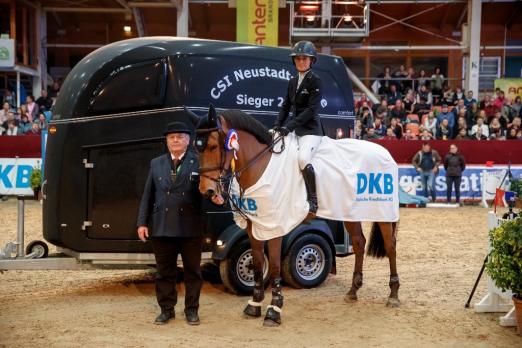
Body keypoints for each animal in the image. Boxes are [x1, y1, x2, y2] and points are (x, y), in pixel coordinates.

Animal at [193, 106, 400, 326]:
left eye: (213, 146)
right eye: (197, 149)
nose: (206, 190)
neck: (262, 166)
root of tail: (384, 152)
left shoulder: (274, 226)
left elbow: (274, 266)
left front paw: (274, 310)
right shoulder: (254, 225)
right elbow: (257, 264)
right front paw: (254, 304)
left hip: (383, 213)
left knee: (390, 246)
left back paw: (393, 295)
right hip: (348, 212)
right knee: (359, 242)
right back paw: (353, 291)